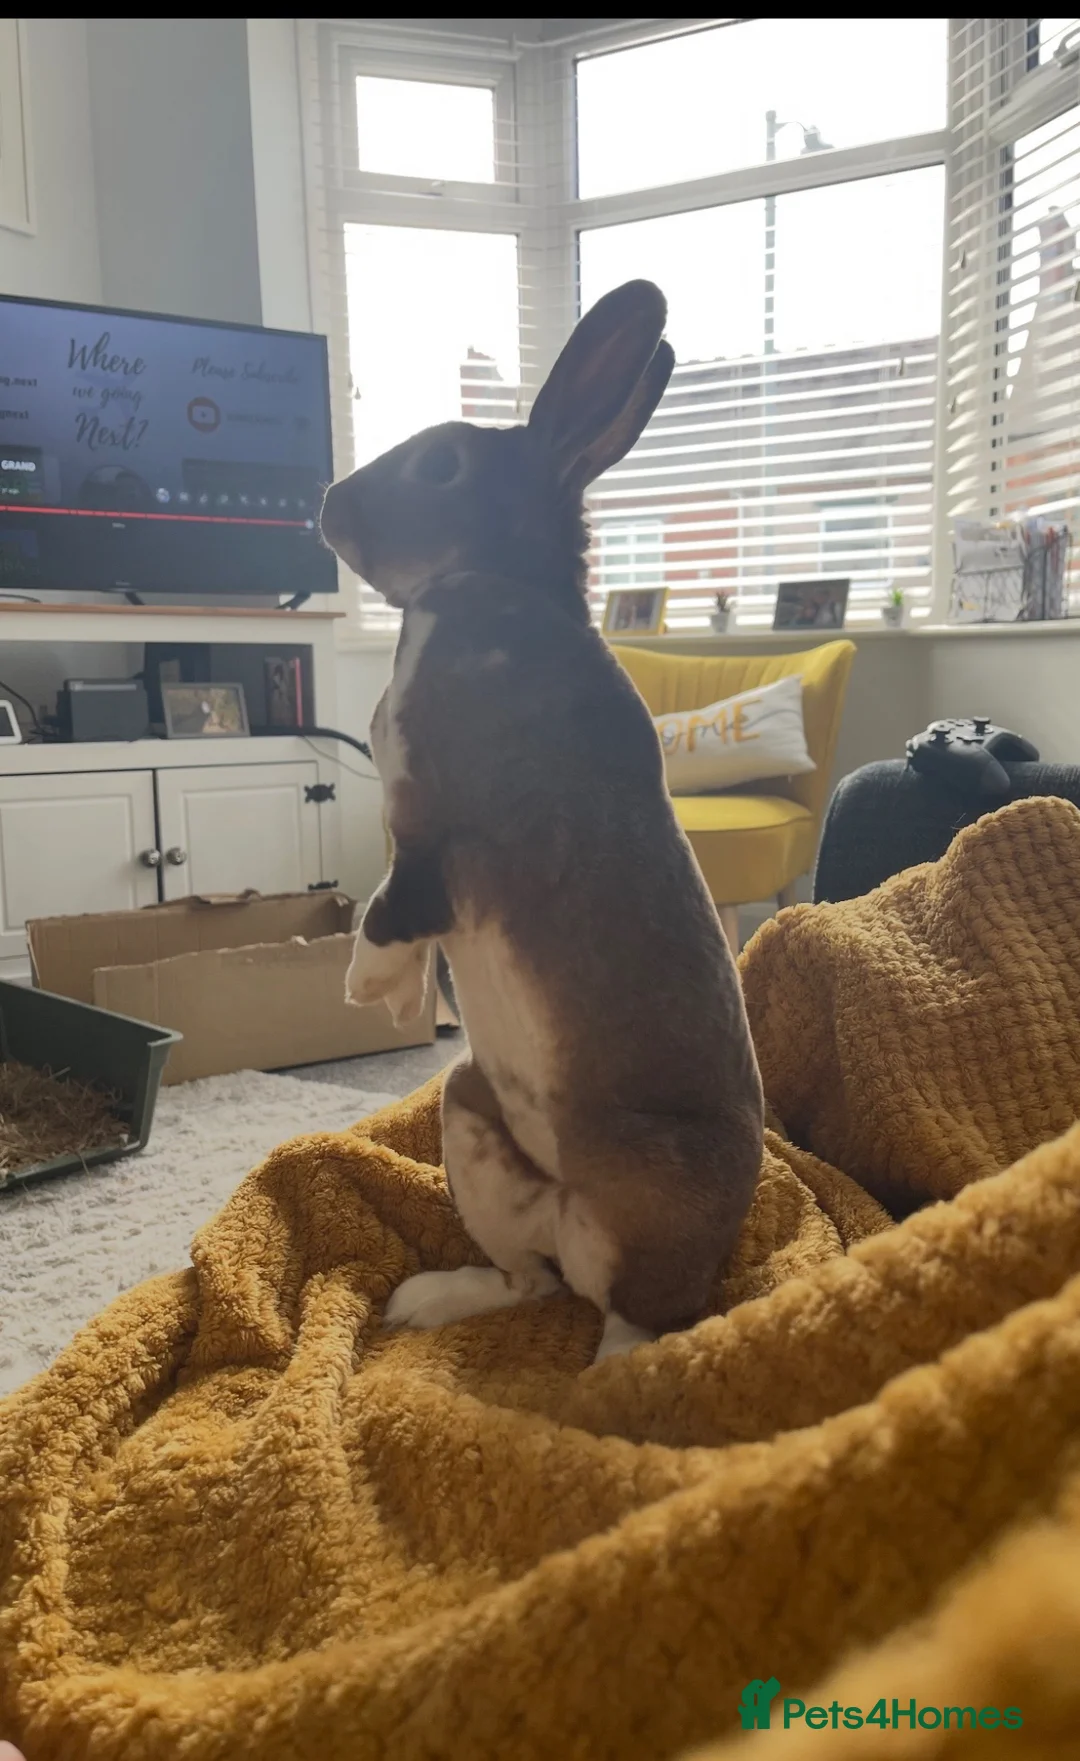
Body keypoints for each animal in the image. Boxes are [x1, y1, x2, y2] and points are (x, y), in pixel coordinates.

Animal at [318, 279, 764, 1363]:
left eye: (443, 463)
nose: (328, 505)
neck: (491, 582)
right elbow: (397, 905)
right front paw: (394, 999)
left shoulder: (433, 826)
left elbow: (392, 905)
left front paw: (367, 988)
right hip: (470, 1114)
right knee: (531, 1282)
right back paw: (427, 1302)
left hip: (625, 1215)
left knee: (626, 1317)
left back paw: (608, 1382)